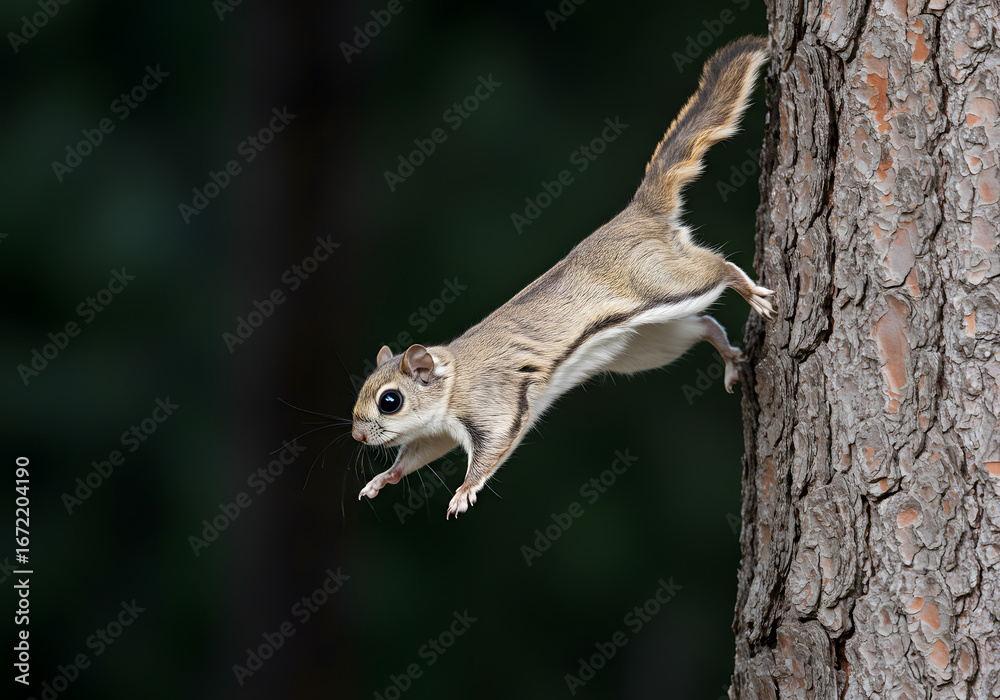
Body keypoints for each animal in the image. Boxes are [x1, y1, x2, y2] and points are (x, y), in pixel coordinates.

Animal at [351, 36, 773, 519]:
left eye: (390, 401)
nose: (357, 436)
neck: (452, 380)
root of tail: (639, 213)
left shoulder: (493, 403)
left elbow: (492, 448)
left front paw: (464, 491)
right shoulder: (437, 431)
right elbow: (420, 454)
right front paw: (382, 479)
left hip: (663, 283)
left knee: (718, 270)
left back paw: (750, 291)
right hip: (649, 344)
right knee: (704, 325)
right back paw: (729, 357)